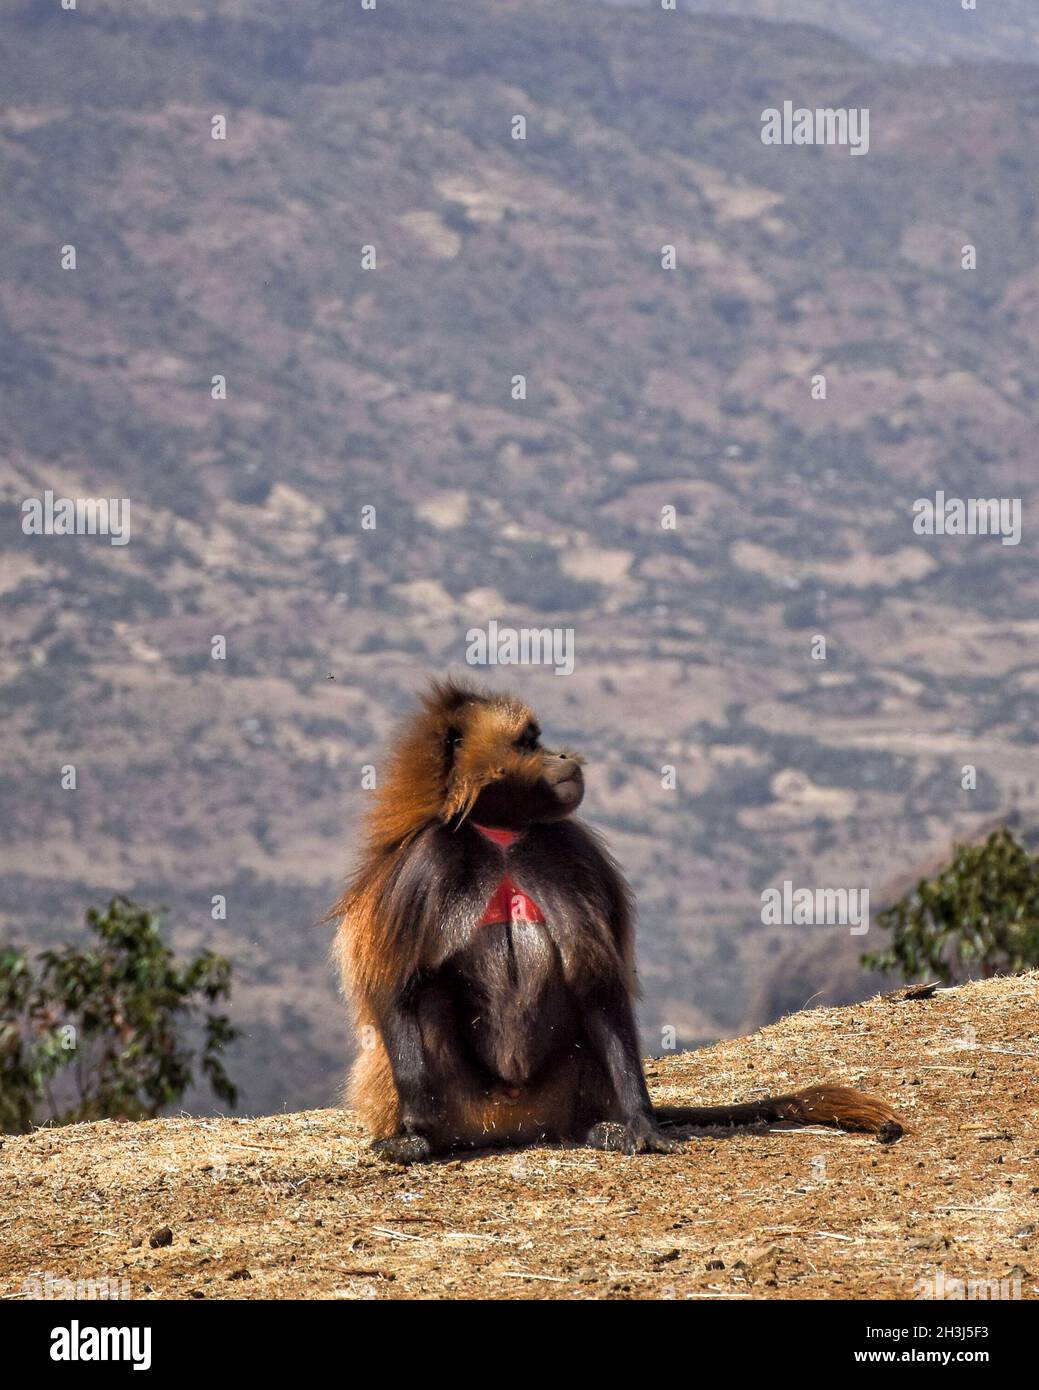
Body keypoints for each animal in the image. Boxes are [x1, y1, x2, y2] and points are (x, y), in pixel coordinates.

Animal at [332, 679, 903, 1164]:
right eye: (530, 741)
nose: (565, 755)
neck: (501, 835)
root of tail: (512, 1128)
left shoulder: (574, 856)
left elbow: (598, 984)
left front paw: (641, 1124)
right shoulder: (423, 868)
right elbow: (398, 983)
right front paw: (413, 1129)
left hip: (562, 1096)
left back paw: (604, 1129)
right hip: (455, 1100)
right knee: (427, 998)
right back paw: (422, 1139)